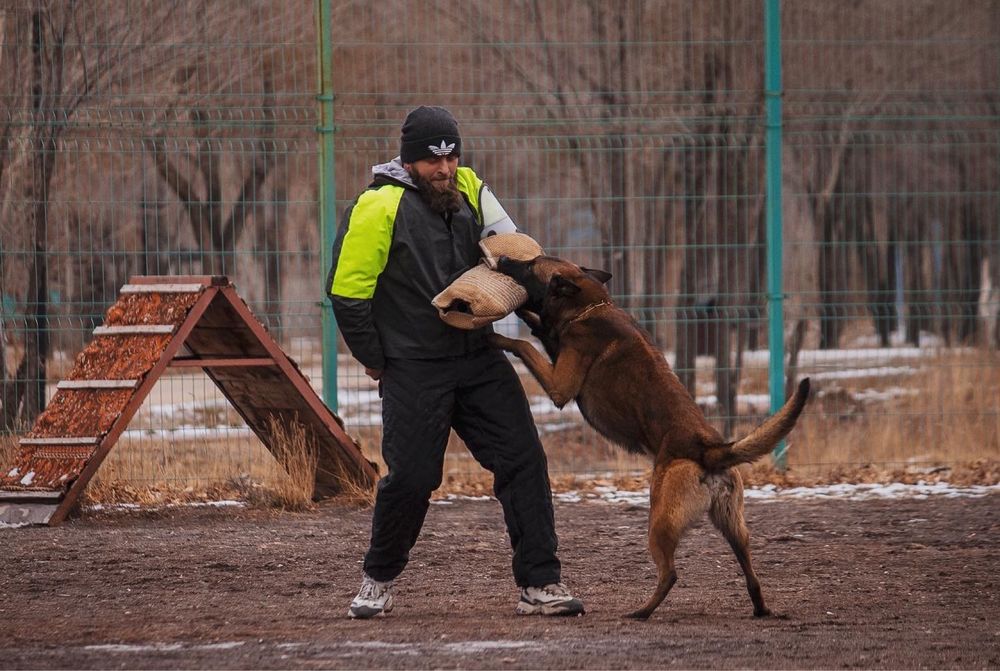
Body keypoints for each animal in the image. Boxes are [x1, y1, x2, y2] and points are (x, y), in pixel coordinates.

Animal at [488, 256, 808, 620]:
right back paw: (758, 608)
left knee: (670, 573)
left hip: (660, 521)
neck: (589, 306)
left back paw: (641, 611)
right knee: (751, 574)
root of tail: (709, 450)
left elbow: (525, 343)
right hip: (734, 528)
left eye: (530, 266)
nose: (503, 259)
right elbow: (537, 327)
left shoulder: (559, 386)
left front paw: (497, 337)